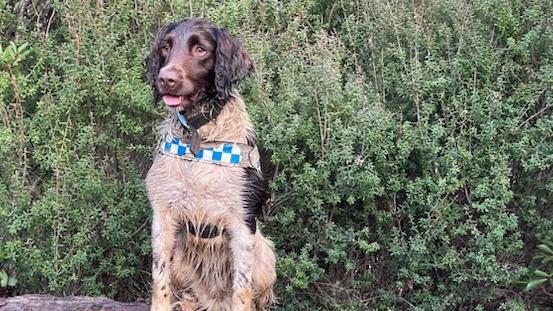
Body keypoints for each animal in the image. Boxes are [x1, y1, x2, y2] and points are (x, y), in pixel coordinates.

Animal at [144, 18, 276, 310]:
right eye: (165, 48)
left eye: (200, 49)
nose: (165, 79)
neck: (198, 134)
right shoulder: (163, 215)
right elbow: (160, 279)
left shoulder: (242, 222)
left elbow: (242, 290)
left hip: (265, 256)